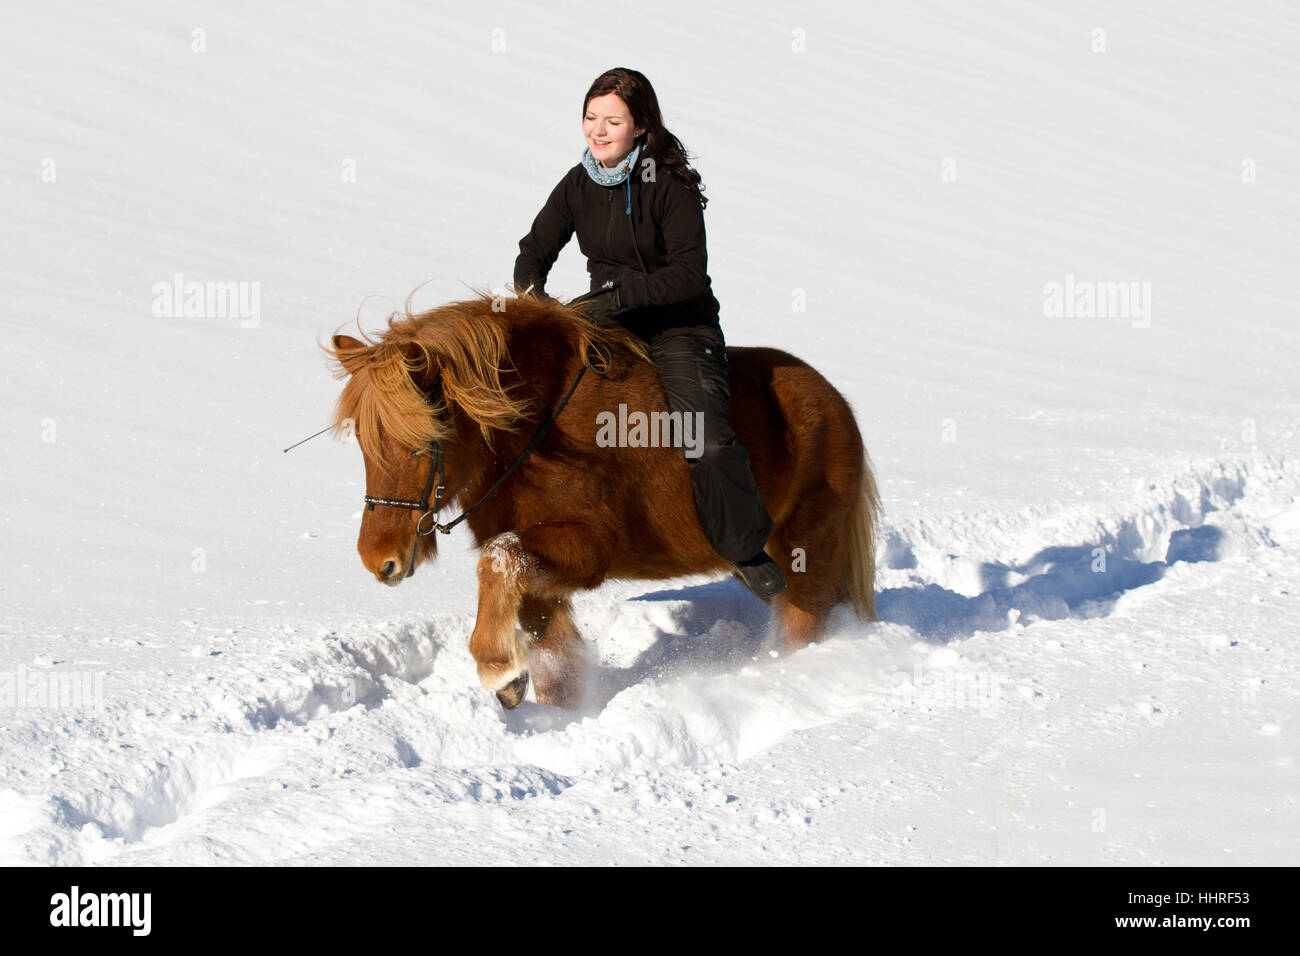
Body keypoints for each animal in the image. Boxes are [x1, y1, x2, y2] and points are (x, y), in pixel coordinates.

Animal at [322, 295, 883, 707]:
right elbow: (551, 653)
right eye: (364, 443)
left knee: (804, 623)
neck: (535, 430)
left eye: (421, 443)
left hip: (805, 553)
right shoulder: (543, 579)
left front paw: (496, 667)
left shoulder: (589, 549)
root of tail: (837, 403)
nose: (379, 559)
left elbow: (499, 558)